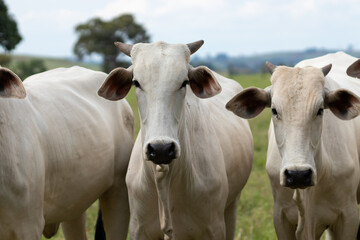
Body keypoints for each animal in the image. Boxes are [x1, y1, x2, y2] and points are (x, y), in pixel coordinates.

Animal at [97, 40, 252, 239]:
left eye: (184, 82)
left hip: (231, 207)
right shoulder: (138, 228)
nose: (161, 149)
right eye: (136, 82)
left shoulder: (214, 227)